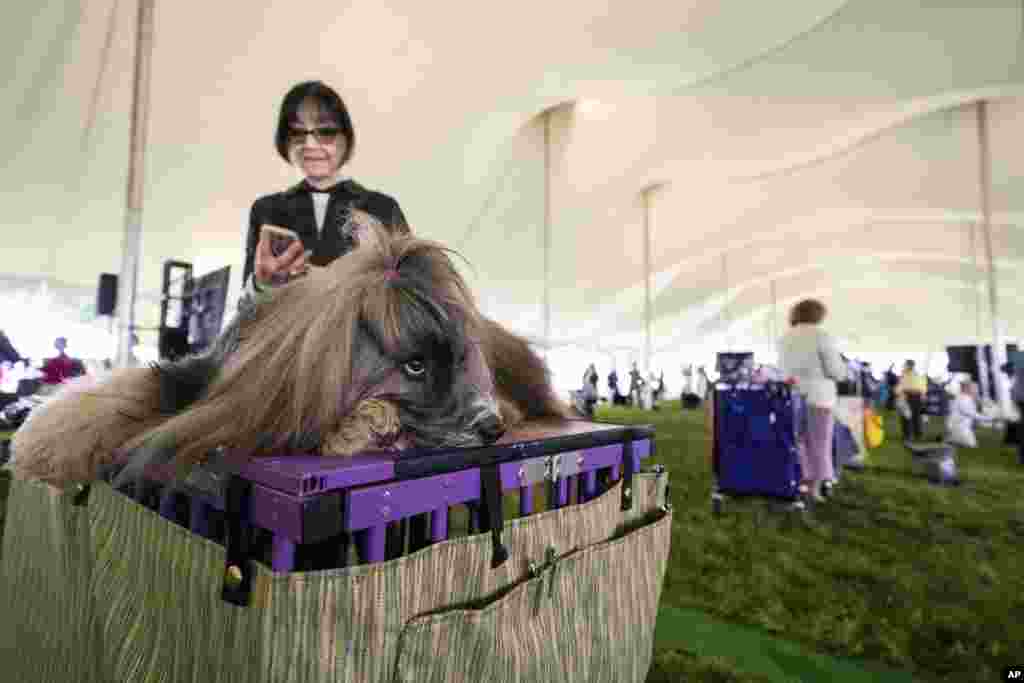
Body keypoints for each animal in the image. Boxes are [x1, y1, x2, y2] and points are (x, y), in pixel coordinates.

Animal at [8, 222, 577, 493]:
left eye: (457, 360)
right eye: (415, 366)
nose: (491, 426)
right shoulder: (198, 374)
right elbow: (121, 393)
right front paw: (39, 440)